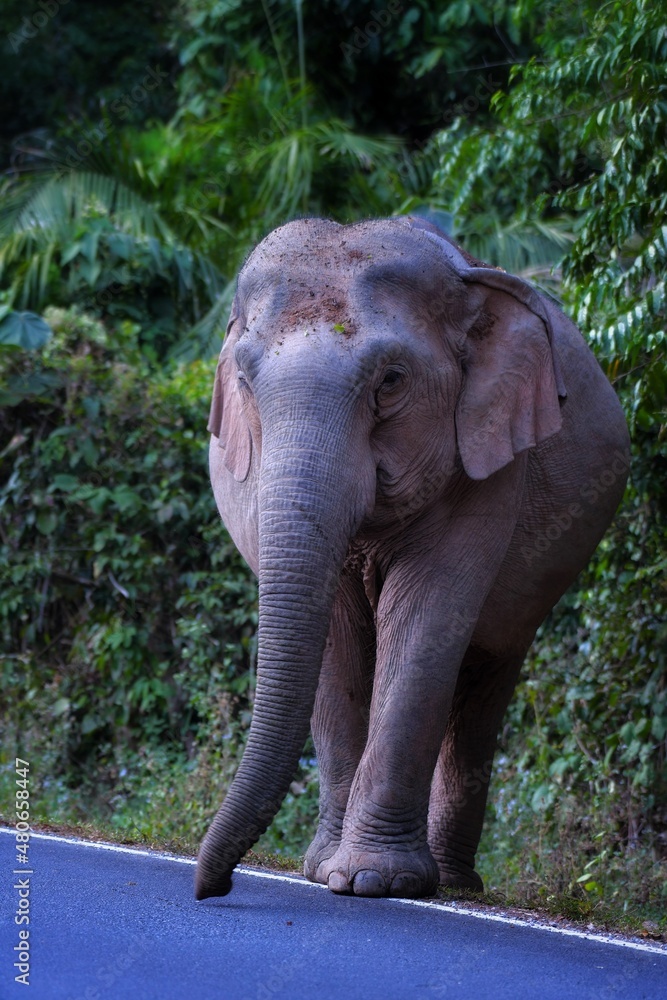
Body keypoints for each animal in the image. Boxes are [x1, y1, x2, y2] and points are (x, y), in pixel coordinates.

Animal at [195, 215, 630, 901]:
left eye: (392, 381)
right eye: (243, 381)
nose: (209, 889)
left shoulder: (487, 460)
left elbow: (425, 622)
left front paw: (373, 880)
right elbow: (336, 640)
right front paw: (325, 872)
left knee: (483, 682)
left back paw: (454, 884)